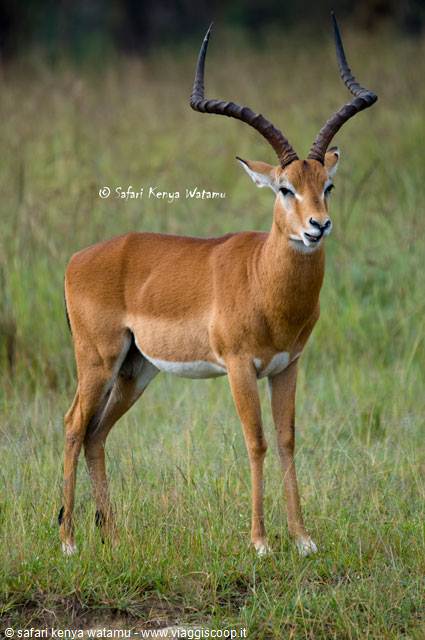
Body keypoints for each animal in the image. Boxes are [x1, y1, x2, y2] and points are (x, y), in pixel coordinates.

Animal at [59, 14, 377, 557]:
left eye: (327, 185)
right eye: (284, 188)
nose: (318, 226)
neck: (262, 281)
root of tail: (77, 259)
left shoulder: (288, 365)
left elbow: (287, 439)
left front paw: (303, 539)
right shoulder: (239, 366)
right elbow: (256, 441)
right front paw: (261, 542)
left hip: (136, 369)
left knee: (97, 434)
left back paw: (114, 537)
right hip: (97, 360)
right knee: (74, 426)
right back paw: (68, 542)